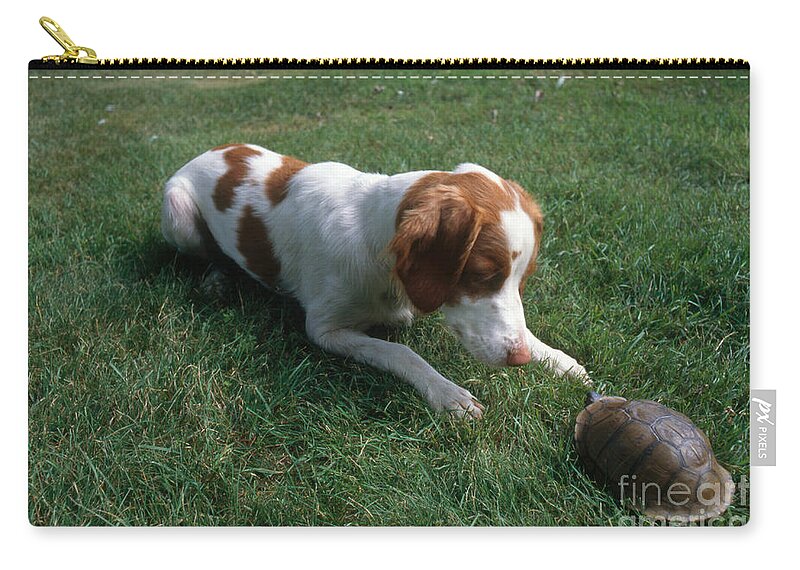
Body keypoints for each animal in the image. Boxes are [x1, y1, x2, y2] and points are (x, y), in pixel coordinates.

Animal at [161, 142, 588, 418]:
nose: (520, 360)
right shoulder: (325, 330)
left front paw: (558, 360)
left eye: (522, 280)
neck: (373, 236)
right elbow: (400, 351)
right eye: (483, 274)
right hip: (178, 214)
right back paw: (217, 279)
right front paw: (448, 393)